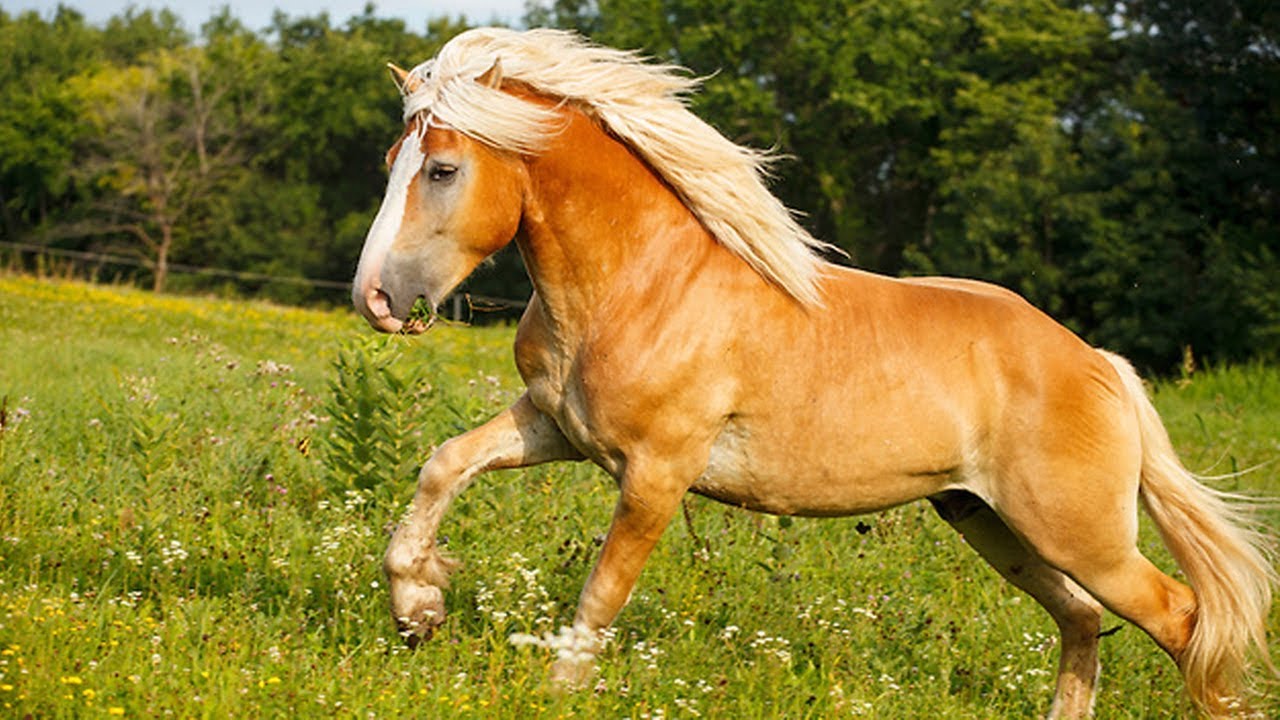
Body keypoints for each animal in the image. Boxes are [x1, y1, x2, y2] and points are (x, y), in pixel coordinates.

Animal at [350, 27, 1275, 718]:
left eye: (442, 169)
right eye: (390, 160)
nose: (378, 298)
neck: (643, 281)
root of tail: (1098, 364)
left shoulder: (657, 473)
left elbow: (600, 597)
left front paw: (551, 690)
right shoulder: (554, 427)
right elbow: (442, 467)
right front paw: (418, 611)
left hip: (1080, 534)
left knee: (1182, 618)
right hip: (989, 521)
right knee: (1083, 620)